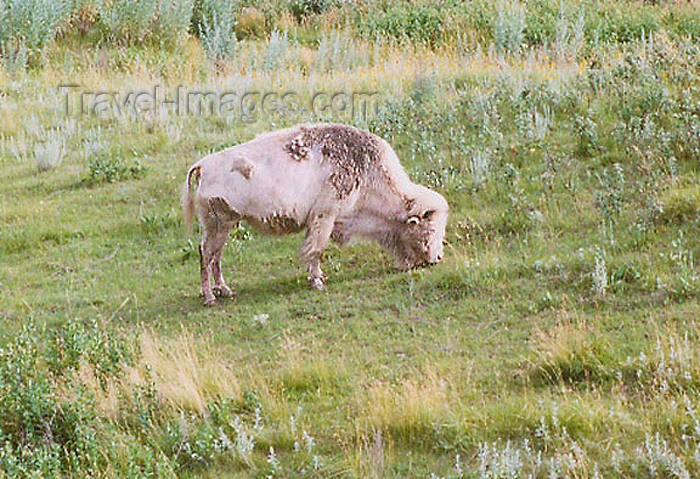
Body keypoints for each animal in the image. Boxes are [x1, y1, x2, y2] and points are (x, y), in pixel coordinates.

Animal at [180, 123, 448, 304]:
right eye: (430, 228)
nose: (437, 258)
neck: (366, 172)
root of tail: (202, 166)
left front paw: (316, 277)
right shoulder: (325, 216)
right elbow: (316, 249)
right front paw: (318, 281)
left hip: (223, 226)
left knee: (215, 256)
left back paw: (225, 290)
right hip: (217, 225)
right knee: (207, 254)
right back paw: (209, 297)